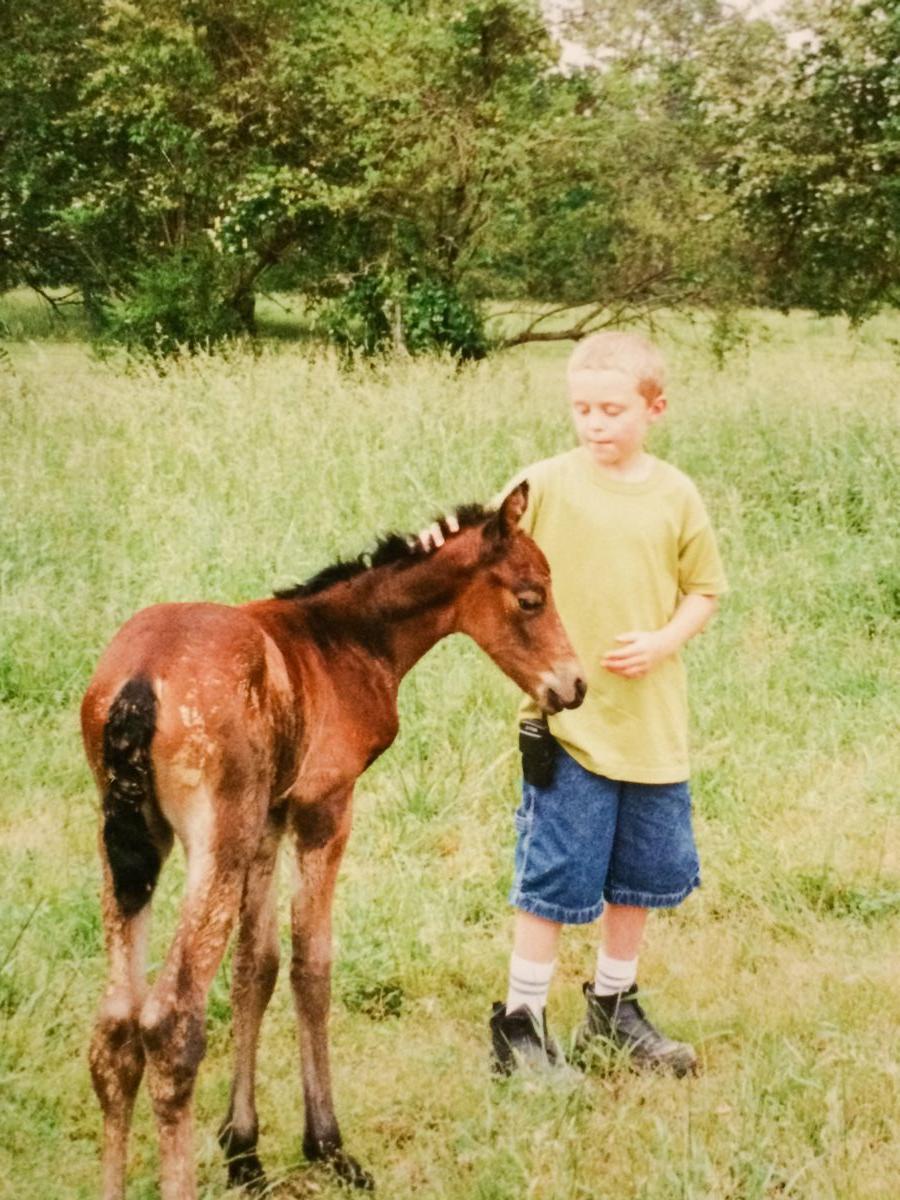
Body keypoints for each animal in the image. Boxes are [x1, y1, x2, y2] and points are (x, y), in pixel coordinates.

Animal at [82, 480, 585, 1200]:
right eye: (530, 597)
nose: (573, 685)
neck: (342, 639)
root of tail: (138, 684)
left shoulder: (271, 818)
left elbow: (255, 967)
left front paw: (244, 1153)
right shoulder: (324, 806)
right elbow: (310, 965)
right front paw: (327, 1144)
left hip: (131, 848)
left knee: (115, 1029)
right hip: (215, 841)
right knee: (170, 1021)